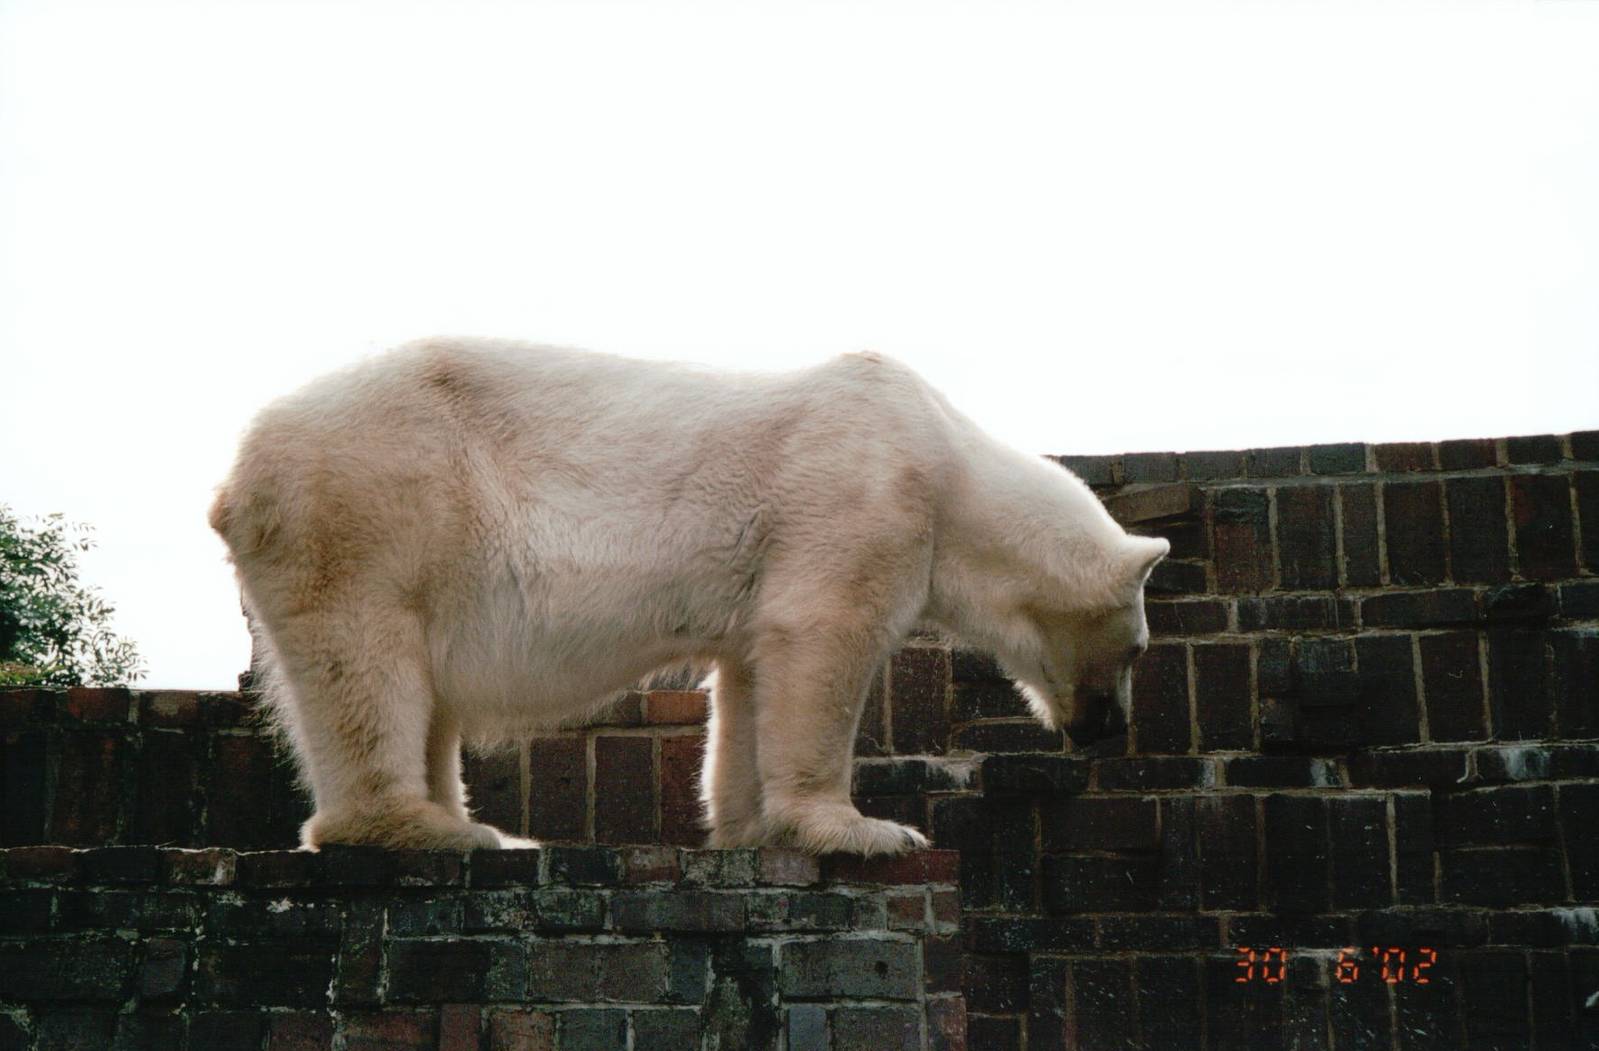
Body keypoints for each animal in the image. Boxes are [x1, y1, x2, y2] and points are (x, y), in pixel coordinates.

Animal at [209, 337, 1166, 856]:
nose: (1108, 725)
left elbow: (752, 669)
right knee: (369, 660)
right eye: (1136, 648)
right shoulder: (861, 497)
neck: (948, 459)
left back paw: (476, 822)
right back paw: (428, 827)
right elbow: (822, 638)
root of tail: (238, 473)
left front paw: (753, 824)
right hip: (376, 499)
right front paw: (863, 828)